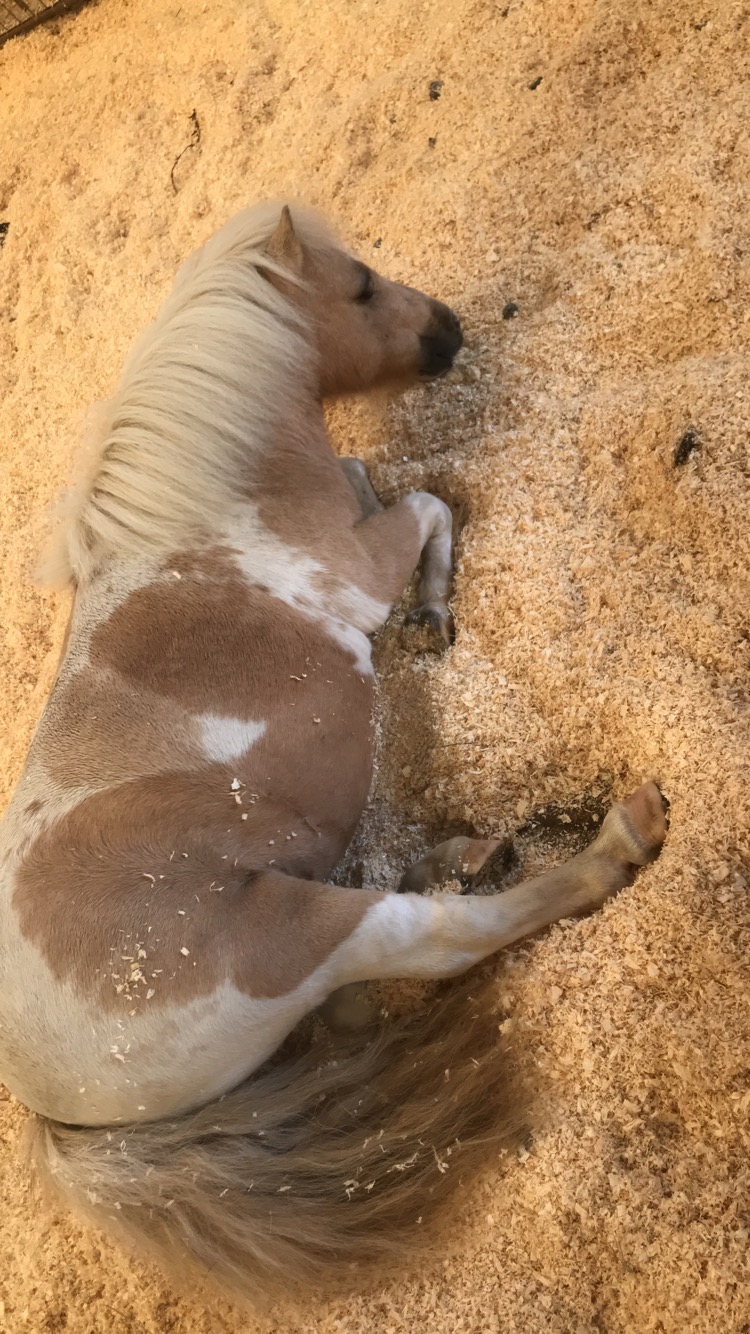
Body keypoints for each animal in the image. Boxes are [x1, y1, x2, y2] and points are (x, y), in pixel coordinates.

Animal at [0, 202, 668, 1304]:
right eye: (358, 286)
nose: (447, 328)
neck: (210, 505)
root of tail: (63, 1110)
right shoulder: (362, 563)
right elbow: (430, 505)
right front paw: (432, 613)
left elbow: (381, 480)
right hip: (303, 932)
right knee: (443, 940)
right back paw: (613, 841)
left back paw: (470, 854)